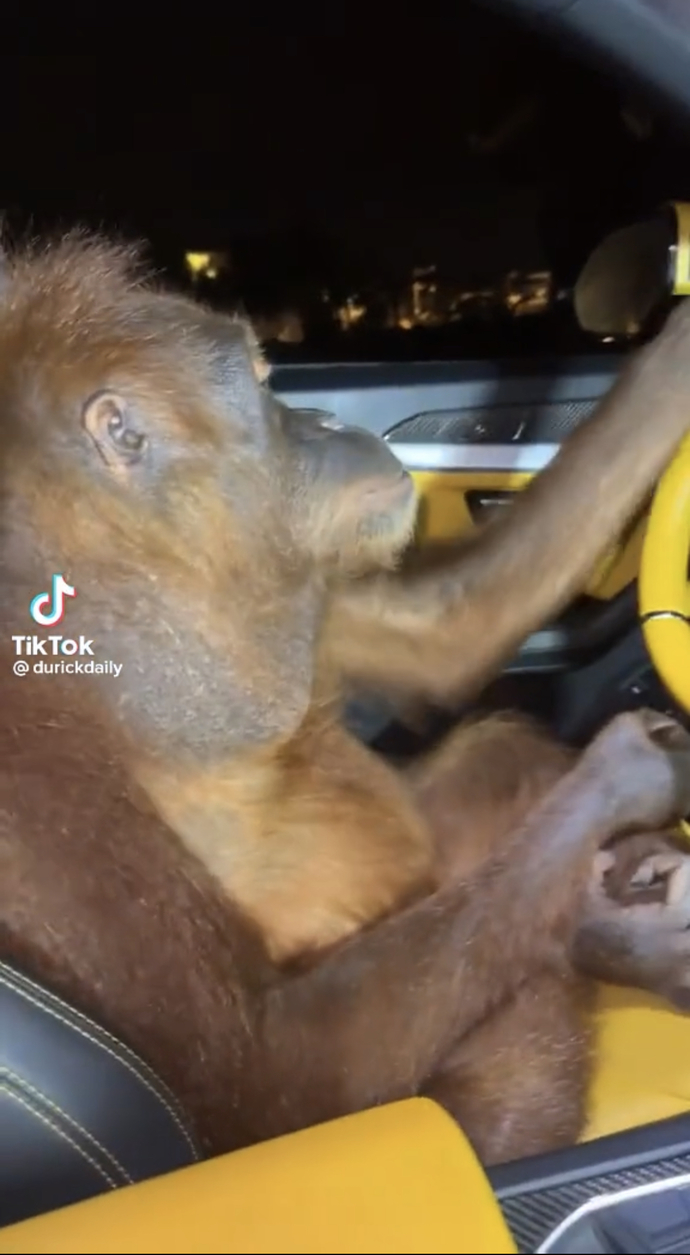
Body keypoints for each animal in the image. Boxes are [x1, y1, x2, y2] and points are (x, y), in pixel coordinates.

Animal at [4, 234, 690, 1173]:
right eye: (263, 389)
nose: (328, 422)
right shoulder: (32, 812)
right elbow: (271, 1070)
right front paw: (627, 776)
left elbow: (449, 628)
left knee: (492, 757)